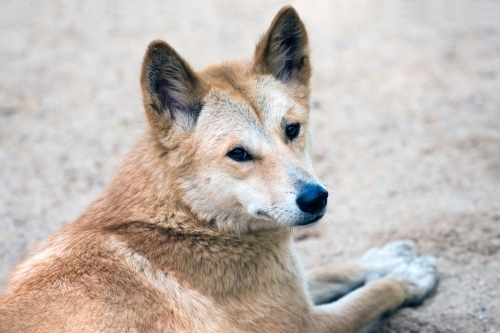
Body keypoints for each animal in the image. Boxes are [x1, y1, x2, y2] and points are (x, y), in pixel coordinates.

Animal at [0, 5, 436, 332]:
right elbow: (370, 296)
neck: (190, 219)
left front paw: (386, 261)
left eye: (292, 129)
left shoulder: (290, 289)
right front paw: (405, 279)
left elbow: (333, 270)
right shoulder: (305, 322)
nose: (315, 198)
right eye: (239, 154)